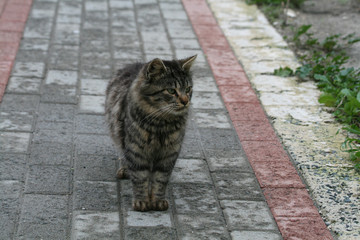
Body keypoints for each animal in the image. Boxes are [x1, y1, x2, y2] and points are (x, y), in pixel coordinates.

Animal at [105, 55, 197, 211]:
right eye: (171, 91)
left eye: (188, 89)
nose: (185, 101)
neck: (161, 124)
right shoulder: (136, 151)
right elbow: (140, 178)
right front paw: (142, 201)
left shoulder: (169, 153)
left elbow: (160, 180)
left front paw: (157, 201)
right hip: (119, 136)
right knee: (123, 154)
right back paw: (125, 170)